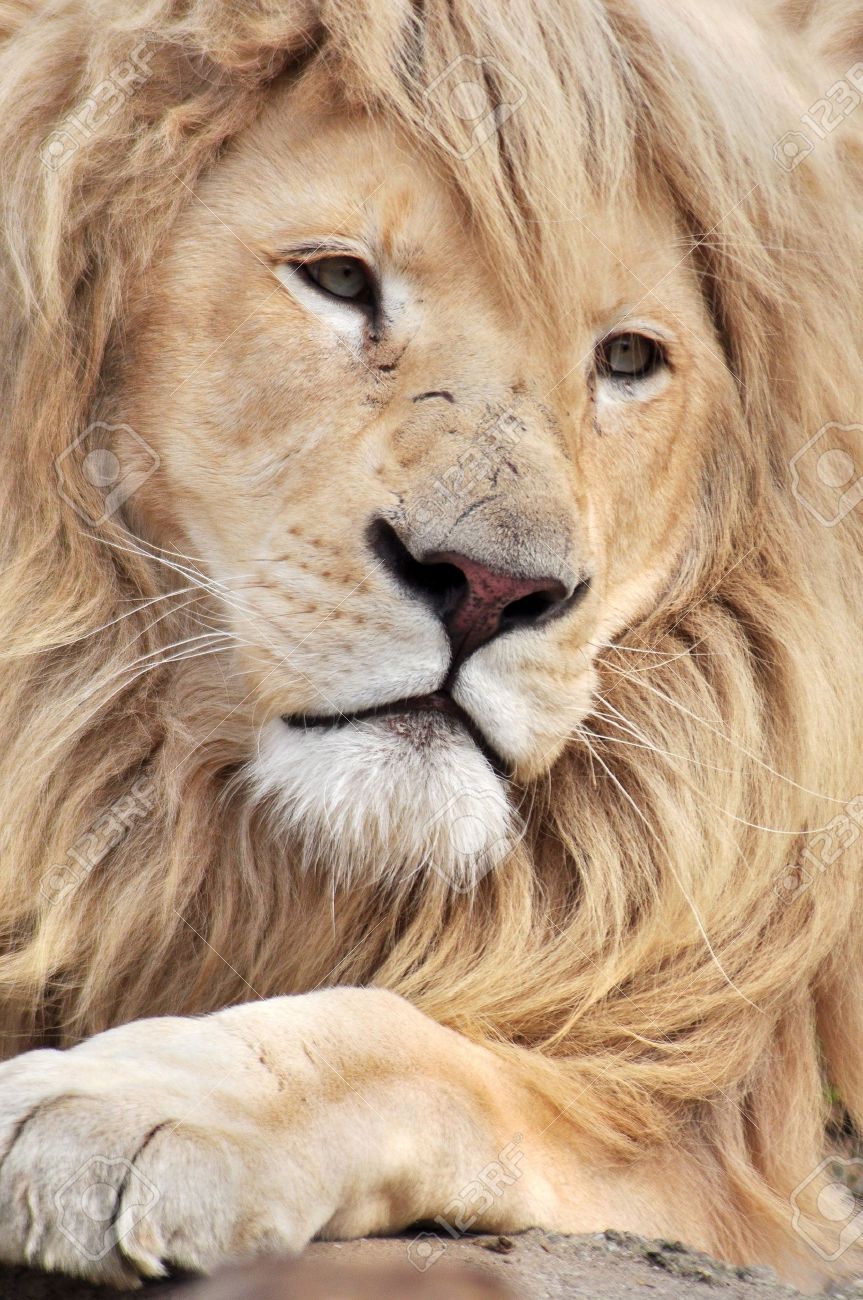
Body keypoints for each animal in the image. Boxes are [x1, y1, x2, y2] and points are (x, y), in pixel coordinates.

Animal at [0, 0, 862, 1290]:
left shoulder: (730, 1153)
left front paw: (118, 1107)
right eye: (336, 279)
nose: (492, 589)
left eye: (625, 359)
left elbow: (405, 1041)